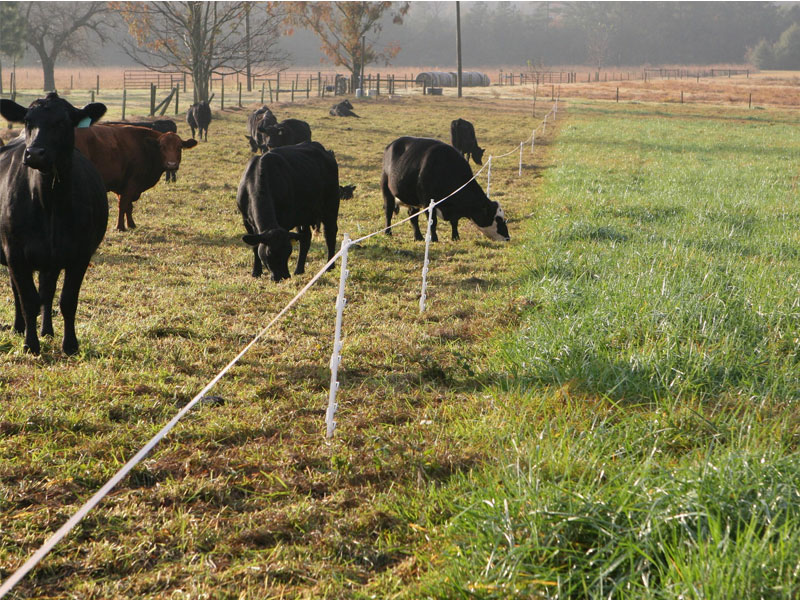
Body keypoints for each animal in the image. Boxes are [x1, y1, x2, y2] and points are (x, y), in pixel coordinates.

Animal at [0, 93, 109, 354]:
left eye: (63, 122)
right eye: (28, 120)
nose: (35, 153)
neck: (49, 202)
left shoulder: (79, 254)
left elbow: (67, 300)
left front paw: (70, 345)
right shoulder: (15, 252)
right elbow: (28, 299)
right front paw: (30, 344)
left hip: (50, 260)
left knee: (47, 292)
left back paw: (47, 331)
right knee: (19, 291)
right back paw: (19, 328)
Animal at [236, 141, 340, 282]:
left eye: (288, 251)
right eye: (270, 252)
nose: (283, 276)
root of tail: (325, 151)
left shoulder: (284, 220)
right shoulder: (246, 220)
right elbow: (255, 246)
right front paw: (256, 272)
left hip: (331, 207)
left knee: (330, 234)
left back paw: (329, 266)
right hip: (304, 215)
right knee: (305, 238)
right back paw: (299, 269)